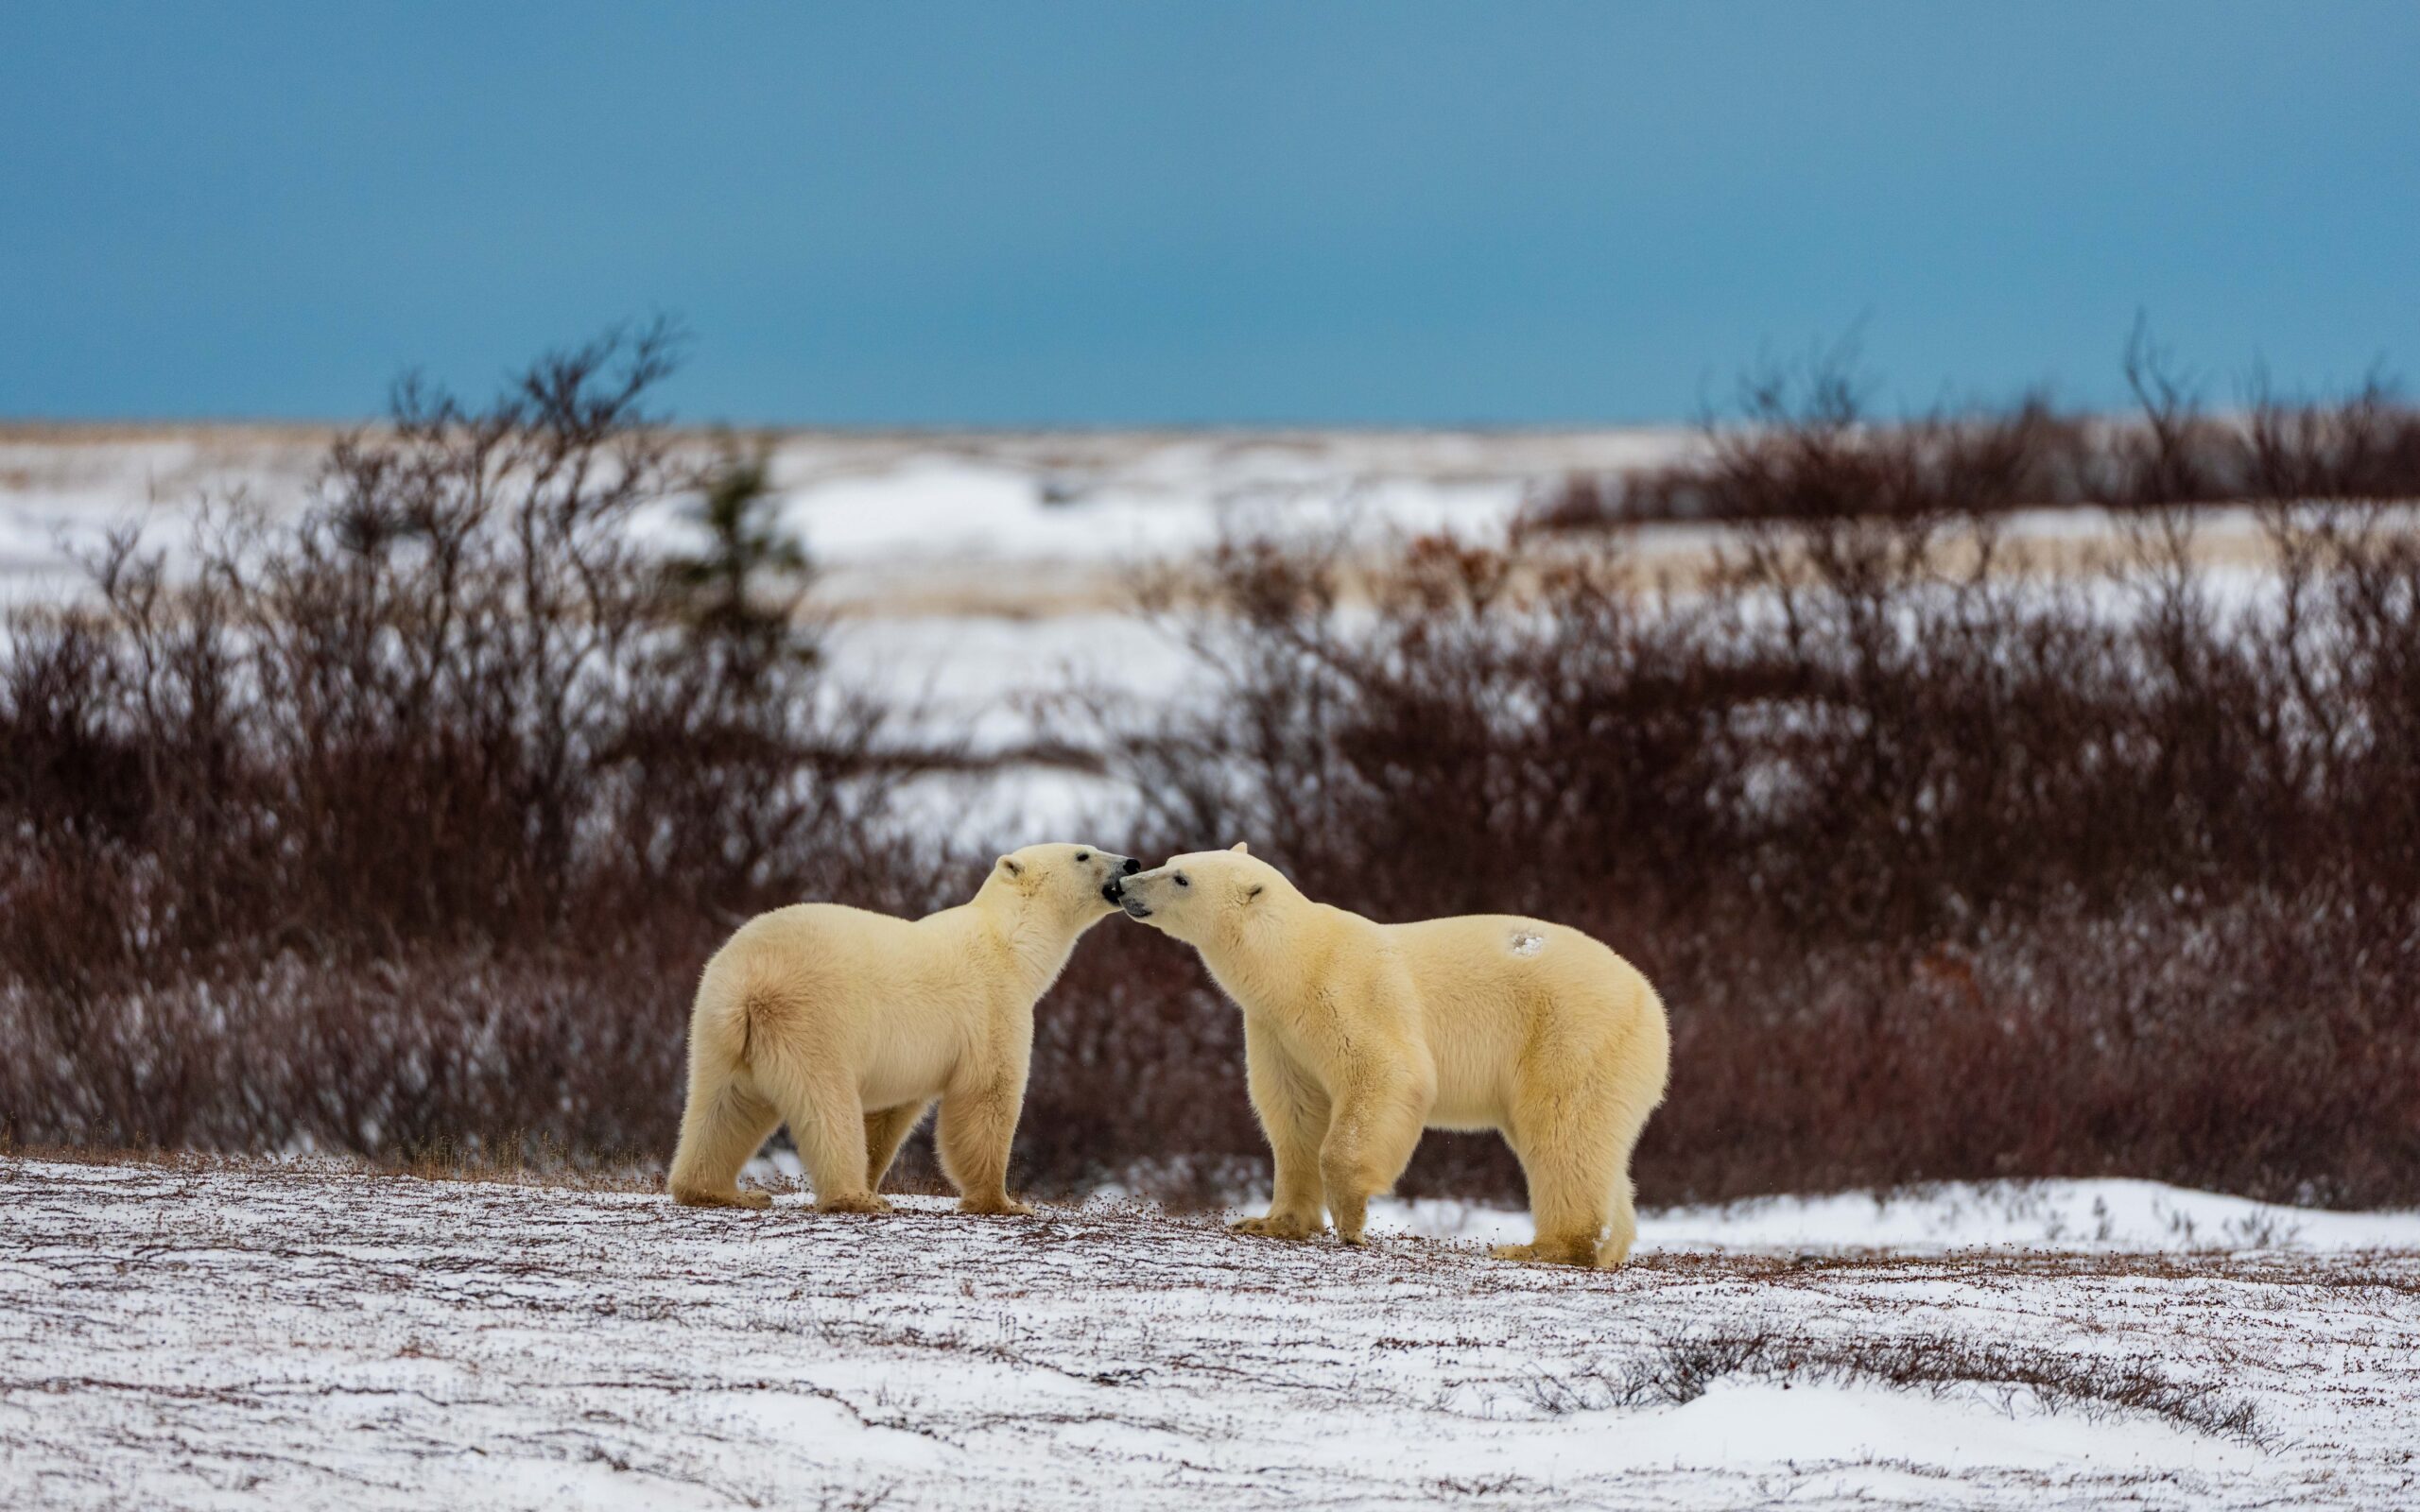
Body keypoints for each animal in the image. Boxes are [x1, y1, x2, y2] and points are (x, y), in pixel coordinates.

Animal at [668, 842, 1140, 1215]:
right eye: (1083, 854)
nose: (1131, 862)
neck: (1012, 944)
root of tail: (749, 979)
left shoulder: (911, 1055)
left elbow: (890, 1113)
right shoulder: (993, 1007)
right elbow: (987, 1097)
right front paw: (1001, 1201)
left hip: (717, 1026)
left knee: (724, 1105)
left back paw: (718, 1191)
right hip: (813, 1020)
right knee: (827, 1106)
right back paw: (854, 1197)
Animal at [1110, 844, 1669, 1267]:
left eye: (1180, 878)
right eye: (1171, 861)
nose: (1124, 885)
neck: (1293, 967)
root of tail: (1651, 1005)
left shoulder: (1353, 993)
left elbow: (1386, 1075)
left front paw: (1350, 1218)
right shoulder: (1277, 1032)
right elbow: (1295, 1111)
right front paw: (1270, 1222)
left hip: (1570, 1033)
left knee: (1562, 1129)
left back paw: (1542, 1248)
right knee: (1593, 1144)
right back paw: (1607, 1247)